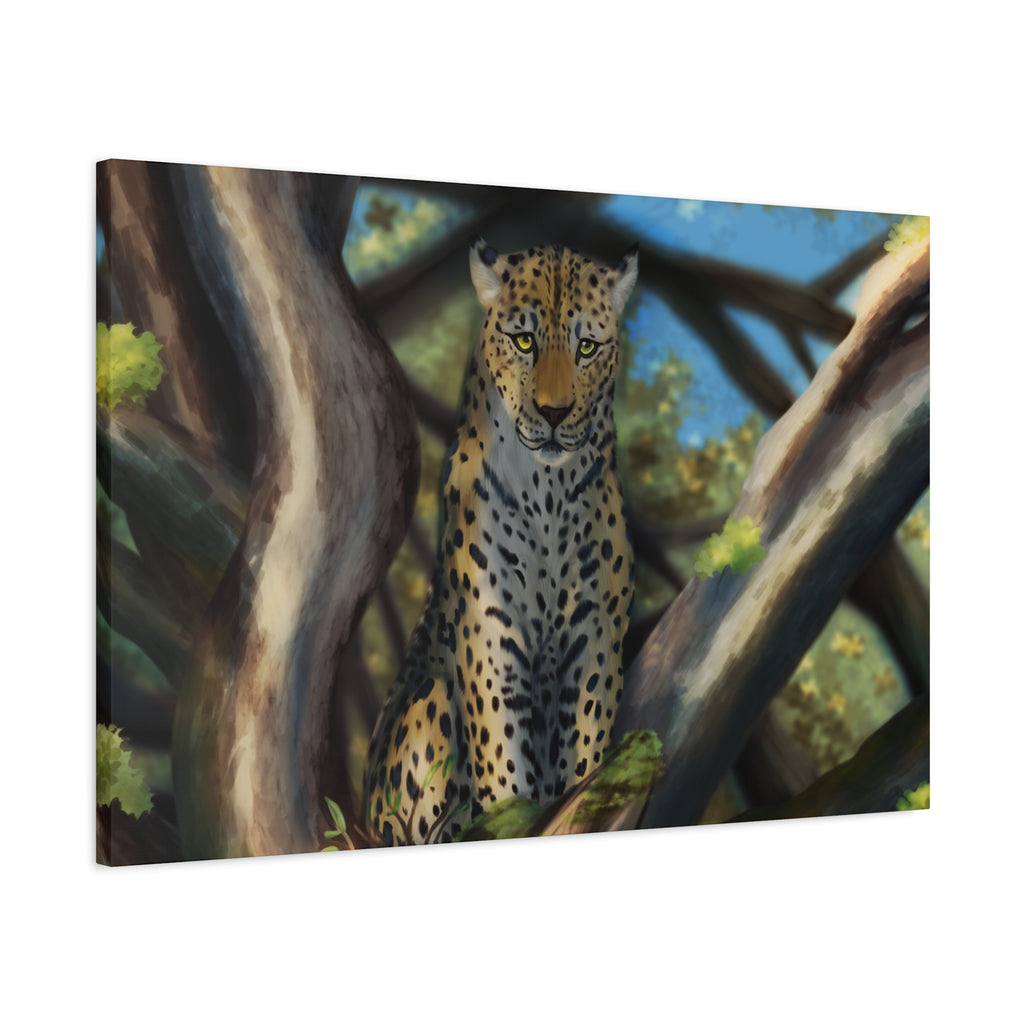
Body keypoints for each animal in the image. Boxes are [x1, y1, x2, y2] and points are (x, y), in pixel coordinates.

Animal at [363, 236, 638, 846]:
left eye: (587, 346)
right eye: (524, 340)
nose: (555, 413)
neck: (548, 492)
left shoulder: (595, 633)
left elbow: (586, 748)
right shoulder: (490, 634)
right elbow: (503, 759)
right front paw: (515, 814)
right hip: (427, 705)